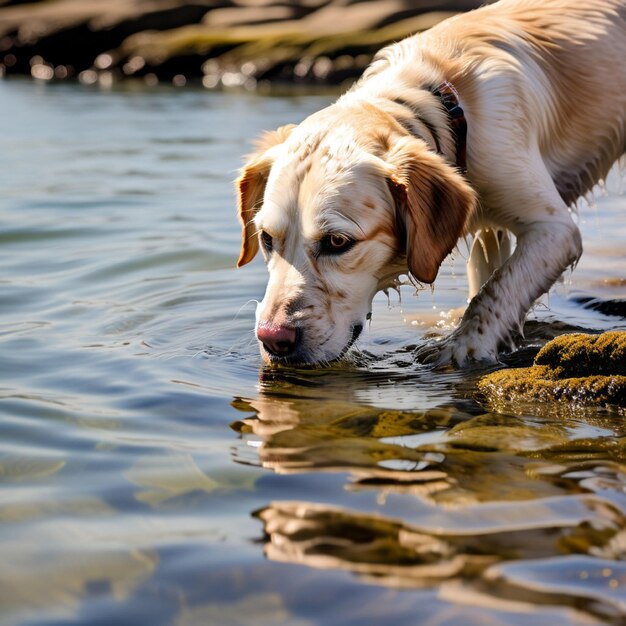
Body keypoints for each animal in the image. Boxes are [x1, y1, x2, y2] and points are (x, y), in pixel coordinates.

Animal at [235, 0, 624, 368]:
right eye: (266, 239)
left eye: (337, 242)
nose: (273, 339)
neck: (446, 105)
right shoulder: (491, 230)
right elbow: (485, 279)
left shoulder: (554, 231)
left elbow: (496, 291)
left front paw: (461, 348)